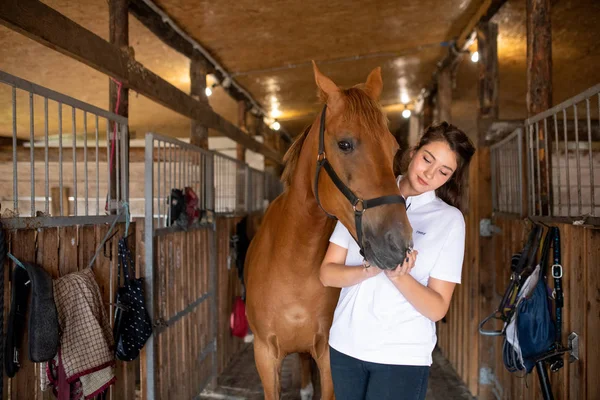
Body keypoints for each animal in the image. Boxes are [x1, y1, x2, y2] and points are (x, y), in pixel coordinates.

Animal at [244, 63, 412, 400]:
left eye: (393, 148)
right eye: (345, 144)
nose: (398, 243)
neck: (294, 264)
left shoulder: (328, 356)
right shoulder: (265, 356)